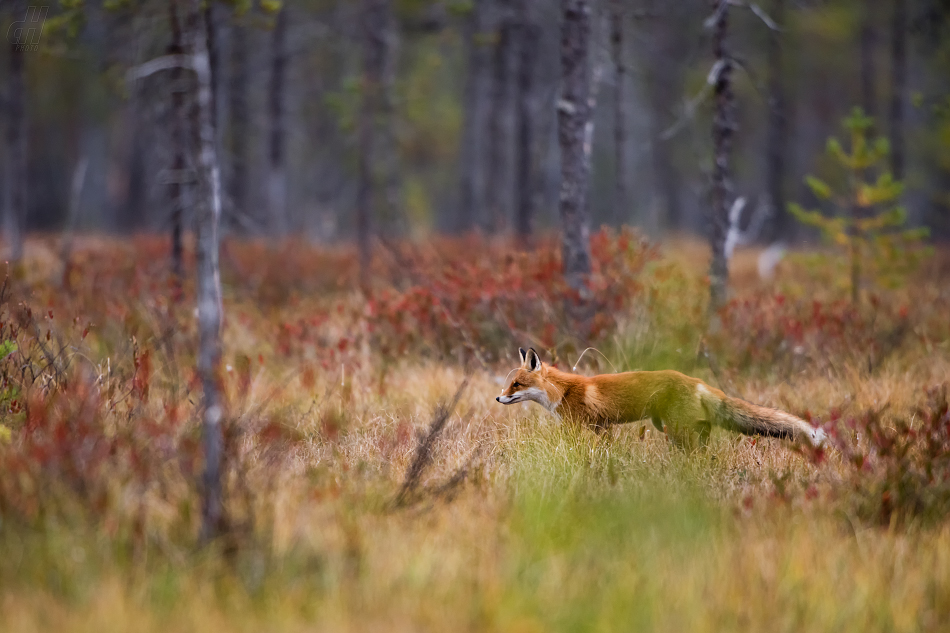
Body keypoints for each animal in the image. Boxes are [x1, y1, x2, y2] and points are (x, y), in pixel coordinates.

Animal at [498, 348, 824, 446]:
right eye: (507, 384)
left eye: (516, 384)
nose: (499, 400)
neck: (563, 391)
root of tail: (697, 381)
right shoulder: (602, 427)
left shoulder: (583, 426)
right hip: (675, 426)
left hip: (676, 429)